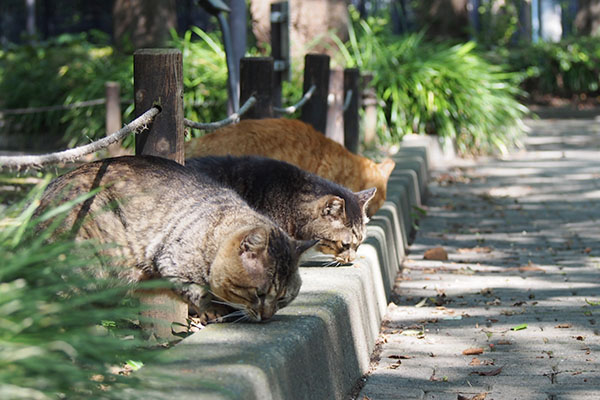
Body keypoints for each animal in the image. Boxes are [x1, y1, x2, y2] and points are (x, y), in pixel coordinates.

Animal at [34, 155, 316, 322]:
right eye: (259, 293)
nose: (267, 316)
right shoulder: (172, 261)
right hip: (91, 267)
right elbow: (197, 291)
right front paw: (214, 309)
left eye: (283, 299)